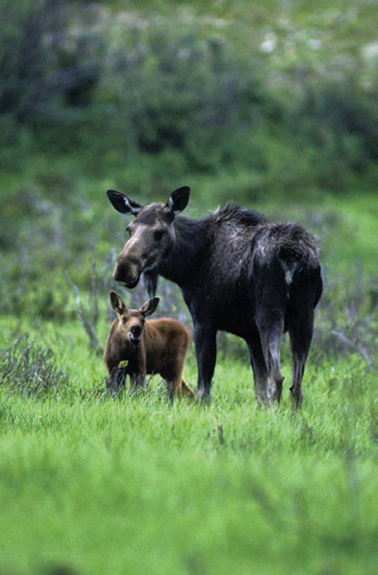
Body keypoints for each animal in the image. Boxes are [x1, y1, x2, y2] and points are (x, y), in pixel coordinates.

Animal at [105, 187, 322, 408]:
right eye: (129, 229)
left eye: (159, 232)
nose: (123, 268)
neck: (187, 266)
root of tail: (292, 255)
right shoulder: (251, 334)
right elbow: (258, 389)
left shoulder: (204, 320)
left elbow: (204, 386)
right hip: (304, 316)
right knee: (296, 386)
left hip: (270, 313)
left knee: (277, 377)